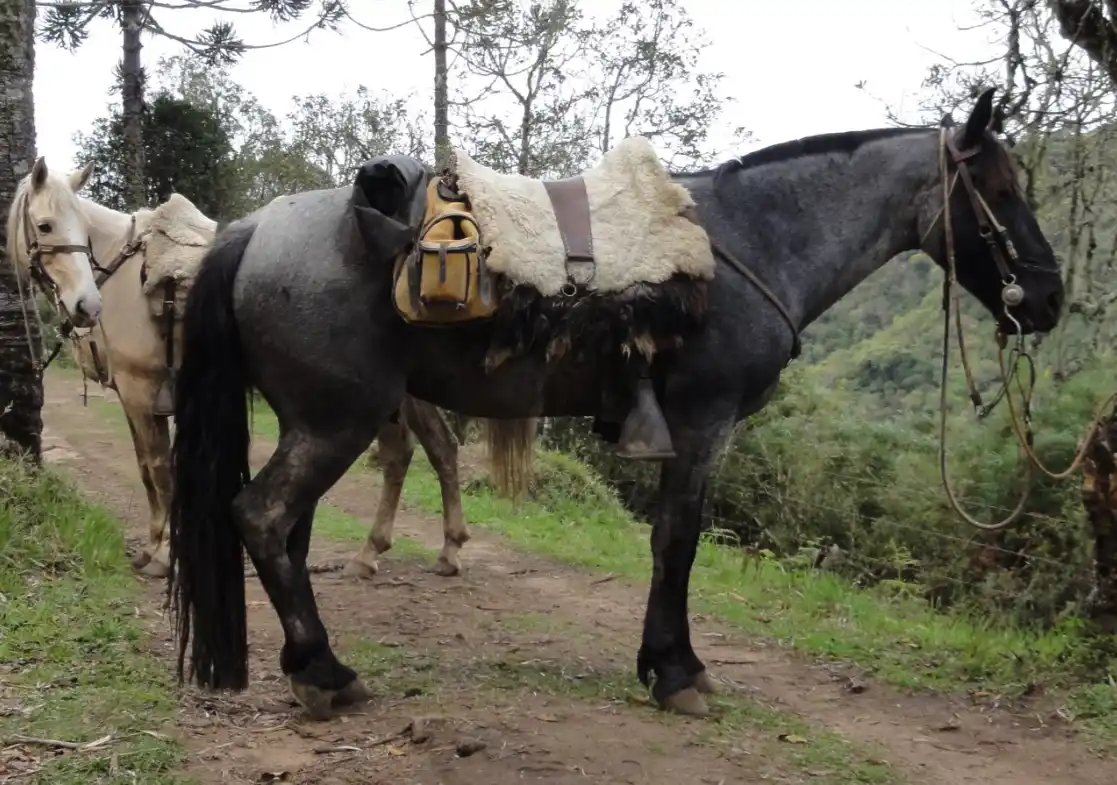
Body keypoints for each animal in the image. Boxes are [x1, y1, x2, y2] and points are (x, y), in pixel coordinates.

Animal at [5, 158, 472, 580]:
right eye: (45, 225)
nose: (86, 306)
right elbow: (145, 471)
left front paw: (162, 555)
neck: (123, 276)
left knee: (409, 453)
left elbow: (158, 471)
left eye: (73, 227)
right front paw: (152, 547)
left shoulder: (141, 391)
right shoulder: (131, 396)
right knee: (433, 450)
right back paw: (433, 549)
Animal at [167, 87, 1065, 720]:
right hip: (336, 420)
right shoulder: (702, 425)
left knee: (285, 528)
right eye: (995, 186)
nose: (1049, 298)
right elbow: (677, 543)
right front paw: (675, 670)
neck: (750, 239)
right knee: (261, 516)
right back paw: (327, 674)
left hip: (312, 420)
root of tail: (252, 230)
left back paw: (306, 666)